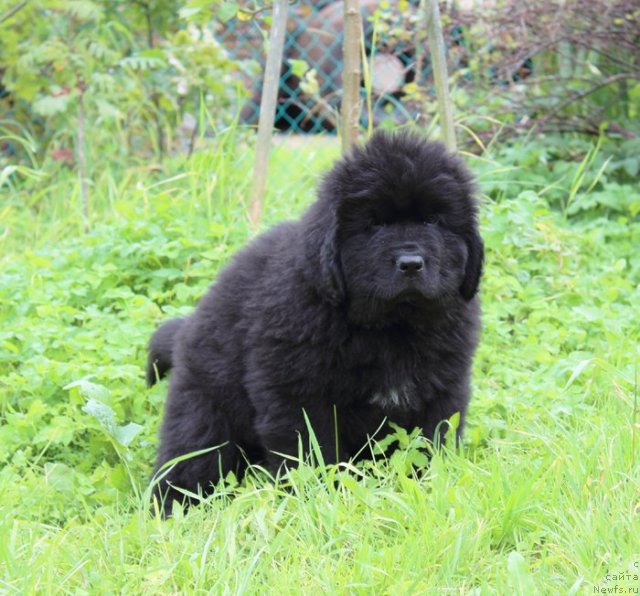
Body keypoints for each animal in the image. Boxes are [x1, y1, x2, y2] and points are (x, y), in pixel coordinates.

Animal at [148, 130, 482, 512]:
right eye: (375, 224)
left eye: (433, 221)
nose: (411, 263)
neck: (390, 328)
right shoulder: (296, 392)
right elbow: (311, 452)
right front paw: (319, 500)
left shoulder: (443, 388)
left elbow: (430, 443)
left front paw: (428, 491)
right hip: (204, 411)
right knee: (191, 456)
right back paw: (172, 507)